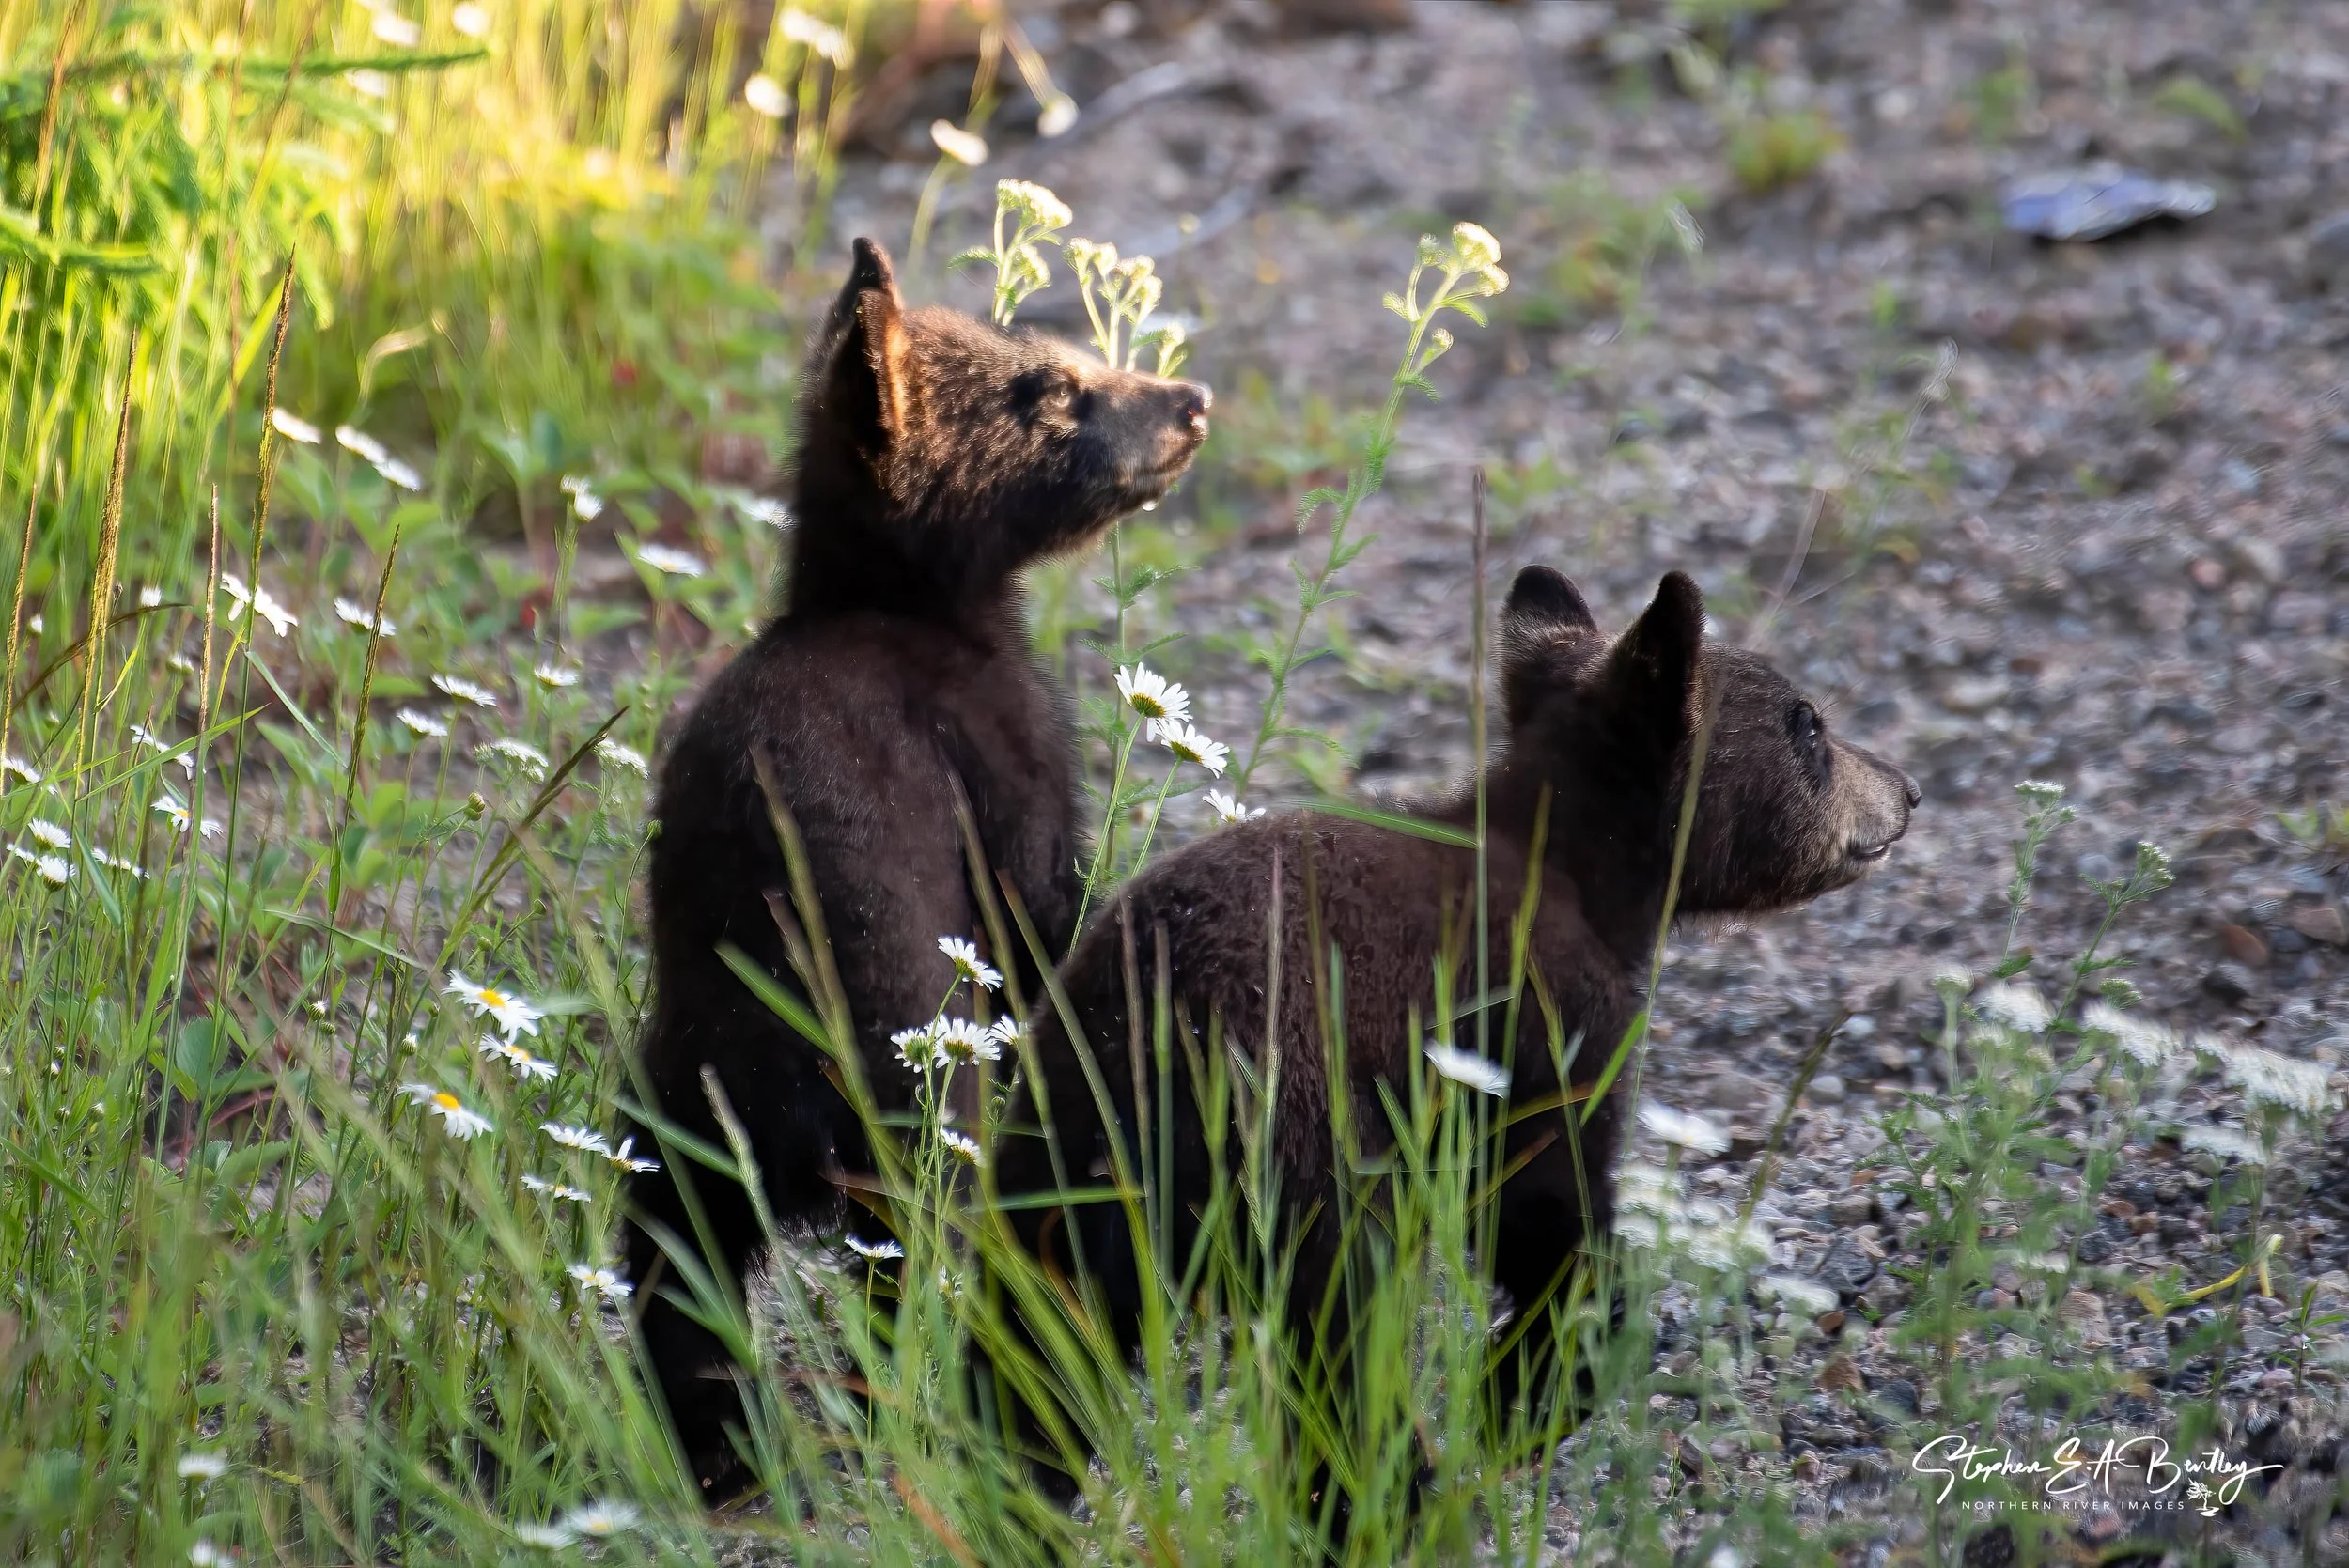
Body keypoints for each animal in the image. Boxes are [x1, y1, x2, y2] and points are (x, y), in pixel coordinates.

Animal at [623, 236, 1211, 1495]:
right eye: (1051, 389)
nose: (1190, 399)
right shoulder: (1008, 776)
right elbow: (1045, 914)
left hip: (672, 1116)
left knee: (672, 1277)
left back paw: (722, 1453)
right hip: (912, 1100)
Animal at [996, 565, 1917, 1466]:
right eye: (1807, 722)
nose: (1907, 789)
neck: (1578, 871)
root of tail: (1152, 1031)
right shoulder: (1545, 1026)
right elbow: (1550, 1205)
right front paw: (1528, 1390)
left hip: (1050, 1157)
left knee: (1024, 1361)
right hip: (1295, 1143)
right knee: (1341, 1339)